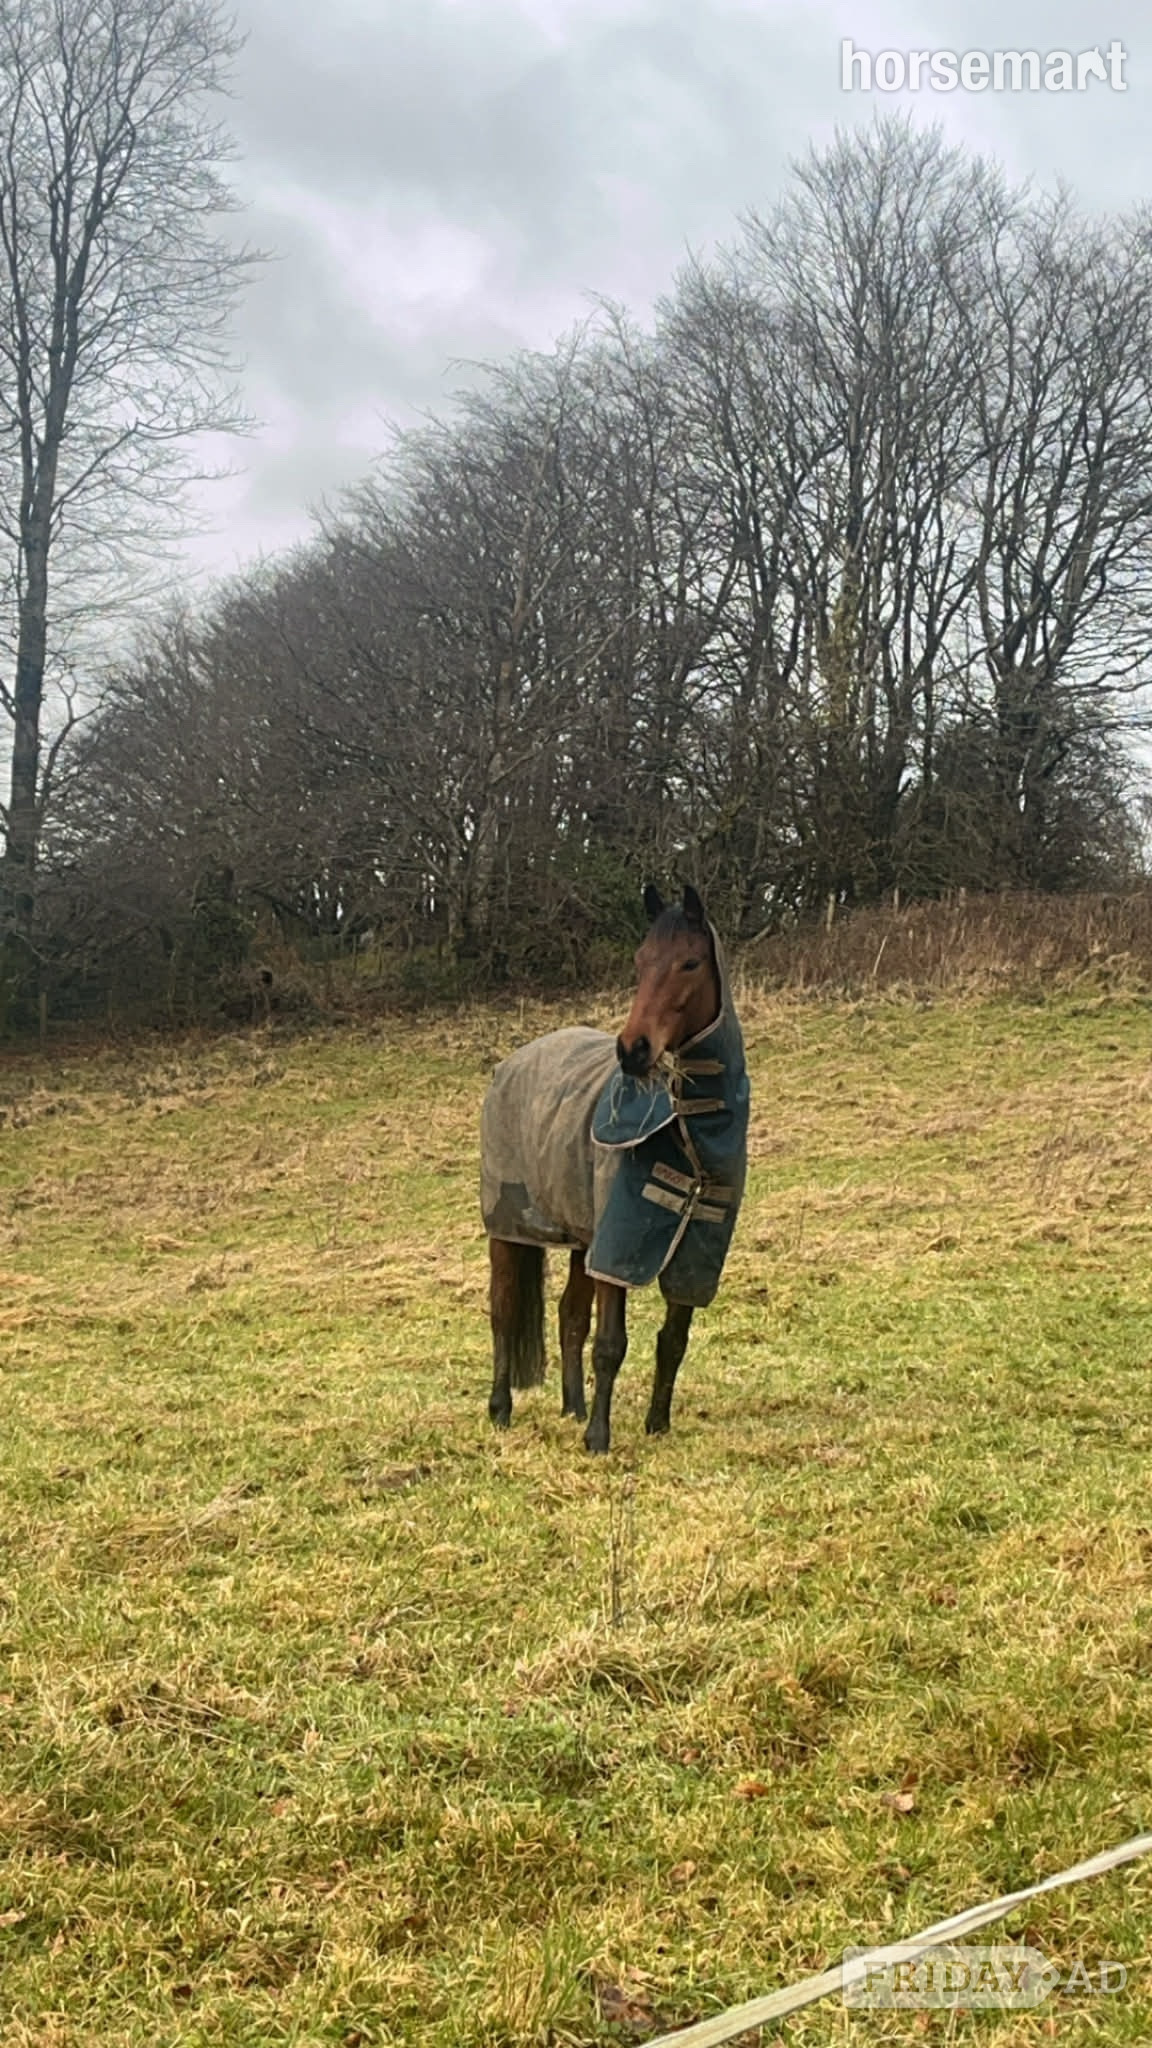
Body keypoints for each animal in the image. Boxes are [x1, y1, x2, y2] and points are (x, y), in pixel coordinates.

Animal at [479, 884, 750, 1453]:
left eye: (690, 962)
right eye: (640, 961)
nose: (632, 1050)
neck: (688, 1131)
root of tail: (510, 1063)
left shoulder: (693, 1248)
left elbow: (673, 1339)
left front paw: (657, 1425)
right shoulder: (618, 1248)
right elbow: (610, 1343)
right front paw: (599, 1439)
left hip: (580, 1238)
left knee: (568, 1316)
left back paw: (572, 1408)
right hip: (508, 1230)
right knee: (504, 1310)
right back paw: (501, 1410)